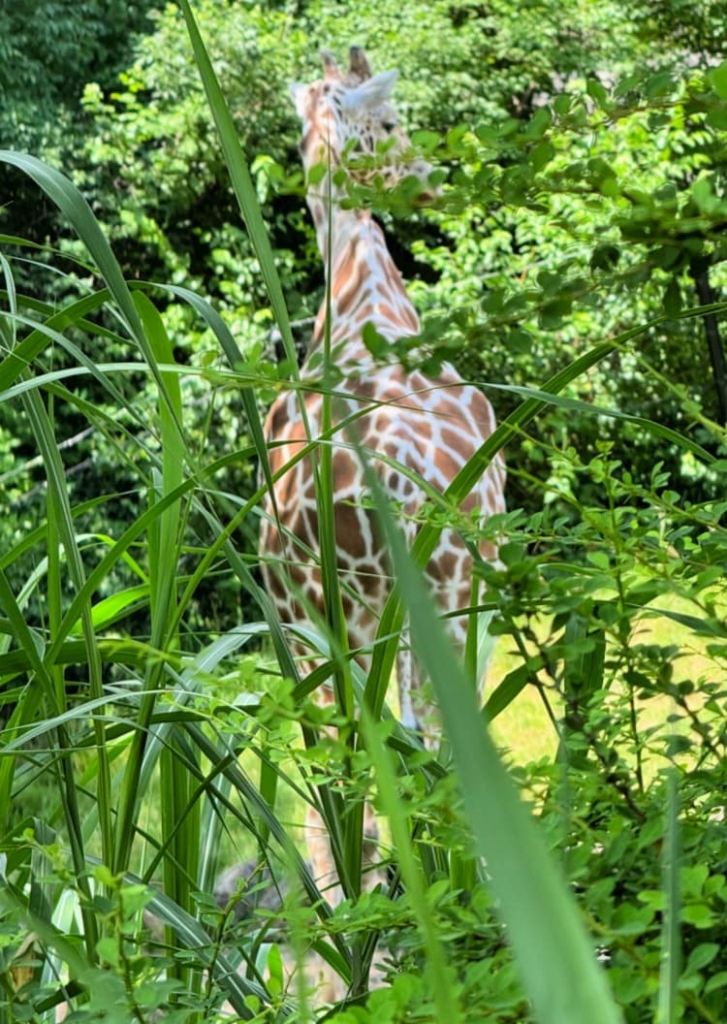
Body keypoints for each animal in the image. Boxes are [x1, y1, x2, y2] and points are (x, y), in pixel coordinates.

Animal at [260, 46, 507, 897]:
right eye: (394, 121)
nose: (431, 176)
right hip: (438, 604)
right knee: (426, 761)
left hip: (327, 622)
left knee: (341, 787)